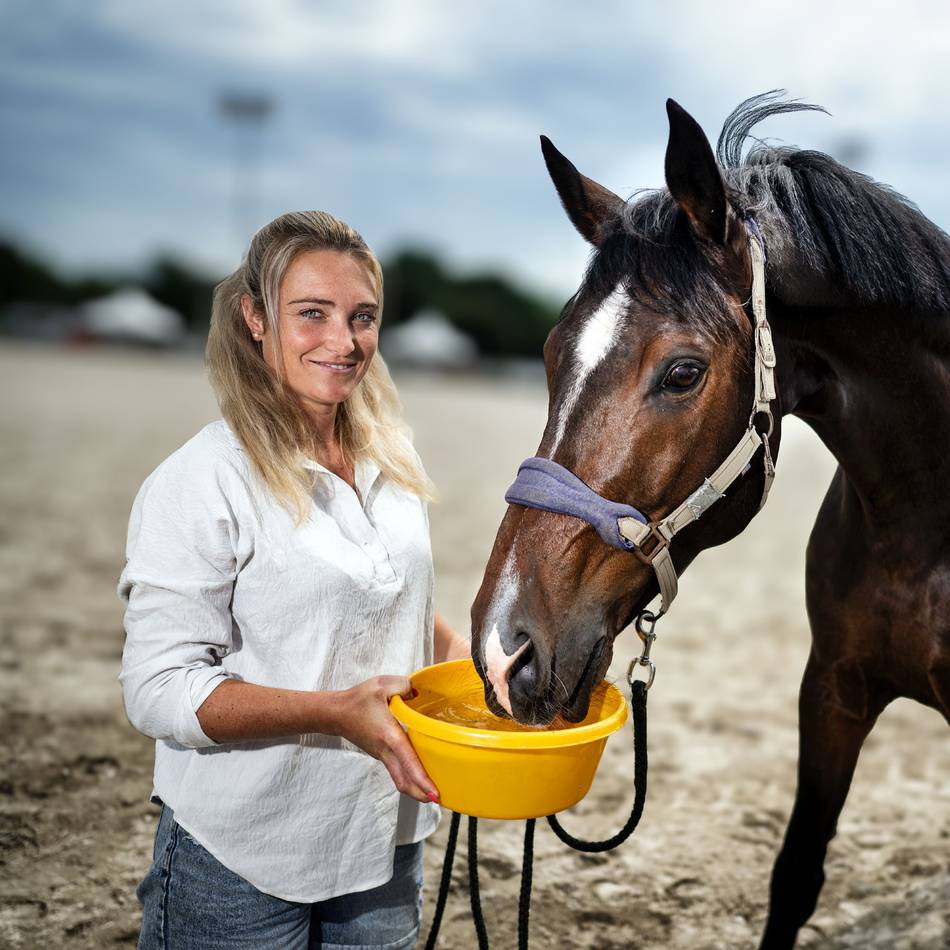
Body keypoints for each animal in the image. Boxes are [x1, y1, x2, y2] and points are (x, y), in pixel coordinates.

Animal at [469, 92, 950, 949]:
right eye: (553, 354)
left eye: (683, 372)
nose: (503, 649)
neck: (924, 525)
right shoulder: (833, 690)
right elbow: (794, 876)